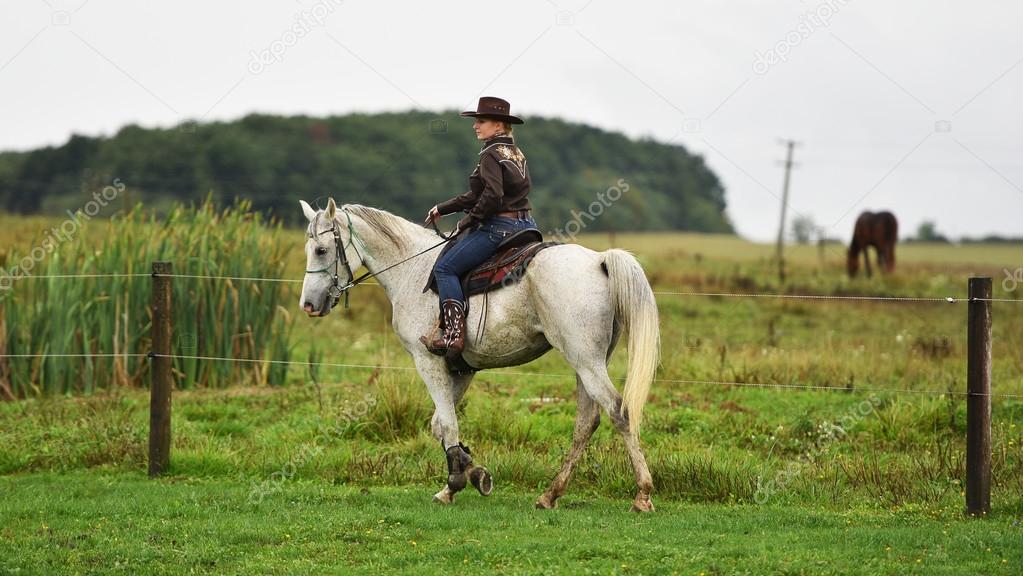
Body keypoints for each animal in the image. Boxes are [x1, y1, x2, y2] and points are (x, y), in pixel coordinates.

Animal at [298, 200, 658, 511]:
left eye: (321, 250)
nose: (308, 305)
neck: (412, 270)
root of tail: (599, 260)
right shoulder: (462, 369)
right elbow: (440, 426)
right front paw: (470, 474)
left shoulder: (427, 361)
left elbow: (446, 423)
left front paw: (457, 481)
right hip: (587, 363)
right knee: (587, 422)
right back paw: (550, 494)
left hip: (585, 361)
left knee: (619, 412)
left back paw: (642, 495)